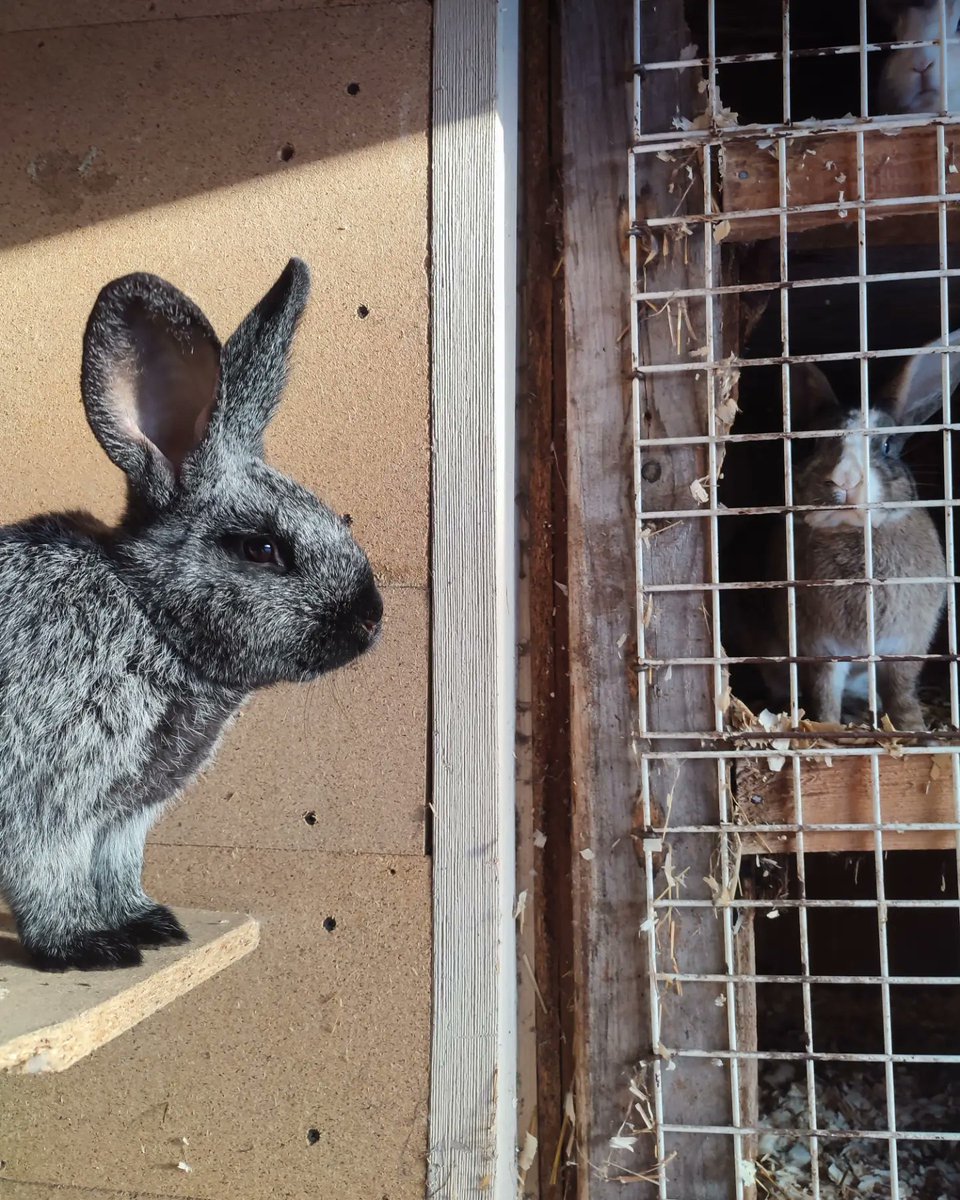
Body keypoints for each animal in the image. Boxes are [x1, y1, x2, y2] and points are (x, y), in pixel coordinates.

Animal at [0, 259, 383, 971]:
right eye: (262, 549)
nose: (371, 620)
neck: (147, 616)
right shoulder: (49, 799)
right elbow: (49, 877)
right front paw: (87, 945)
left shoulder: (123, 821)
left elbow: (115, 870)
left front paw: (149, 924)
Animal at [758, 333, 956, 729]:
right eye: (813, 444)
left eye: (887, 446)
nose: (845, 480)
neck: (853, 533)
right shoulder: (822, 652)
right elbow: (825, 695)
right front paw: (830, 729)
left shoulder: (903, 650)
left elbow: (902, 695)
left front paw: (916, 730)